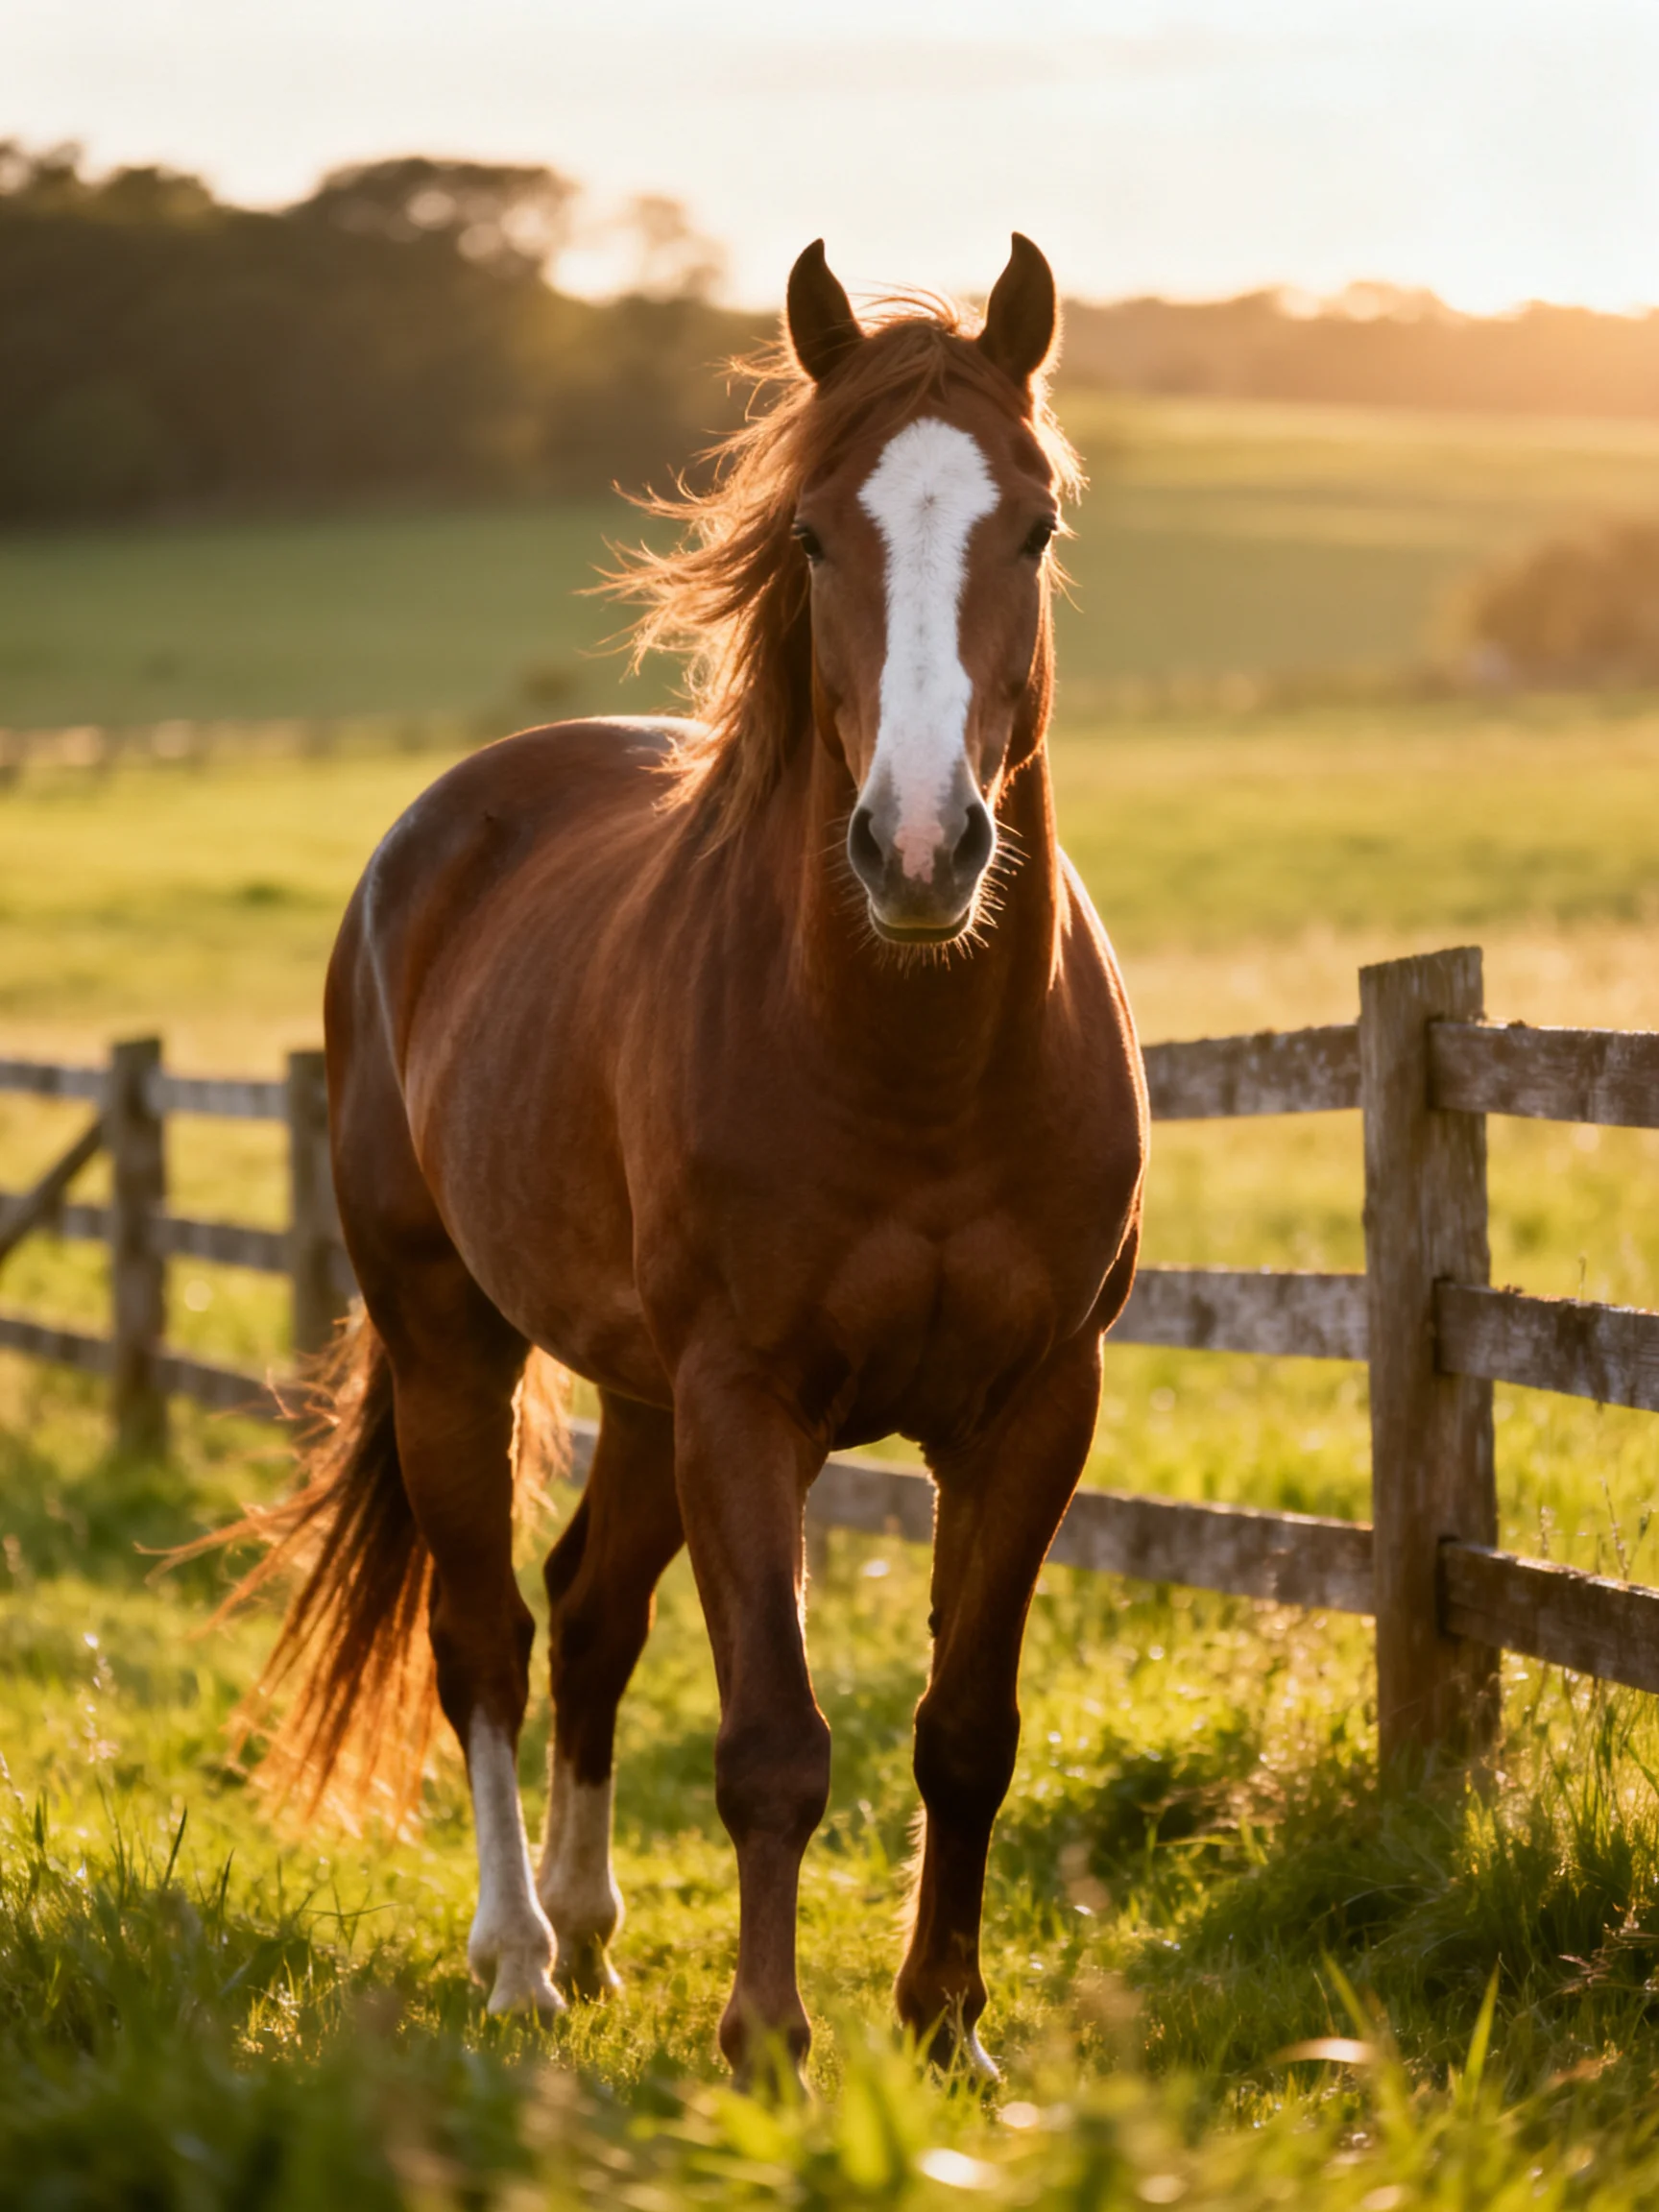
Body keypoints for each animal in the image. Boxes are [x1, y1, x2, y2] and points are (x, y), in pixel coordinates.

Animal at [231, 234, 1146, 2083]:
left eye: (1033, 526)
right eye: (811, 534)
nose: (921, 849)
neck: (919, 1063)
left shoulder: (1034, 1404)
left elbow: (966, 1728)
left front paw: (946, 2031)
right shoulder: (747, 1398)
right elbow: (771, 1740)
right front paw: (769, 2042)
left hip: (639, 1391)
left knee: (590, 1613)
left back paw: (587, 1934)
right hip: (453, 1341)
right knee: (490, 1637)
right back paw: (516, 1955)